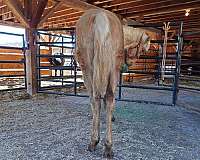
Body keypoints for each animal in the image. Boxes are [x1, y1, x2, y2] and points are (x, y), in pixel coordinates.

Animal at [75, 9, 150, 159]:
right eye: (142, 49)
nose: (130, 63)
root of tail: (100, 16)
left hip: (89, 69)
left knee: (95, 98)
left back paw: (94, 141)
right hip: (112, 69)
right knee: (109, 98)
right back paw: (108, 146)